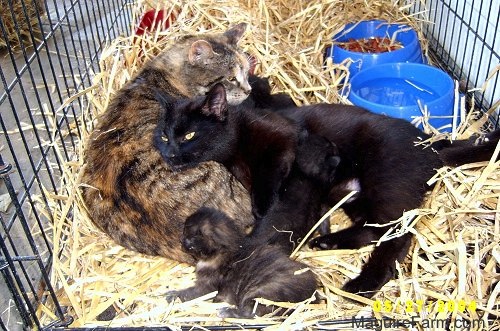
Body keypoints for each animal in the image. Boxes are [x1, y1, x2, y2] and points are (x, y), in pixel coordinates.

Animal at [154, 80, 498, 298]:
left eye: (189, 136)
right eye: (164, 135)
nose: (169, 153)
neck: (236, 140)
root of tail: (430, 147)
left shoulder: (282, 139)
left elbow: (268, 182)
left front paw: (263, 210)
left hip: (387, 183)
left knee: (397, 235)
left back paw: (364, 284)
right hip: (355, 196)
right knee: (373, 229)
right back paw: (328, 242)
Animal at [168, 208, 316, 320]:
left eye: (186, 235)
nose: (181, 242)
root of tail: (310, 297)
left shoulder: (208, 286)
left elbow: (192, 293)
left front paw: (173, 294)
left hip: (262, 291)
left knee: (252, 312)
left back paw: (226, 312)